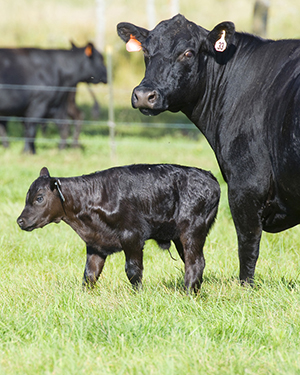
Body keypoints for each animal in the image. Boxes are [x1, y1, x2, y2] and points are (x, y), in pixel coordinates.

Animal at [117, 13, 300, 284]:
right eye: (146, 52)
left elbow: (247, 244)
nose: (144, 95)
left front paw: (245, 287)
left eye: (188, 53)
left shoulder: (246, 183)